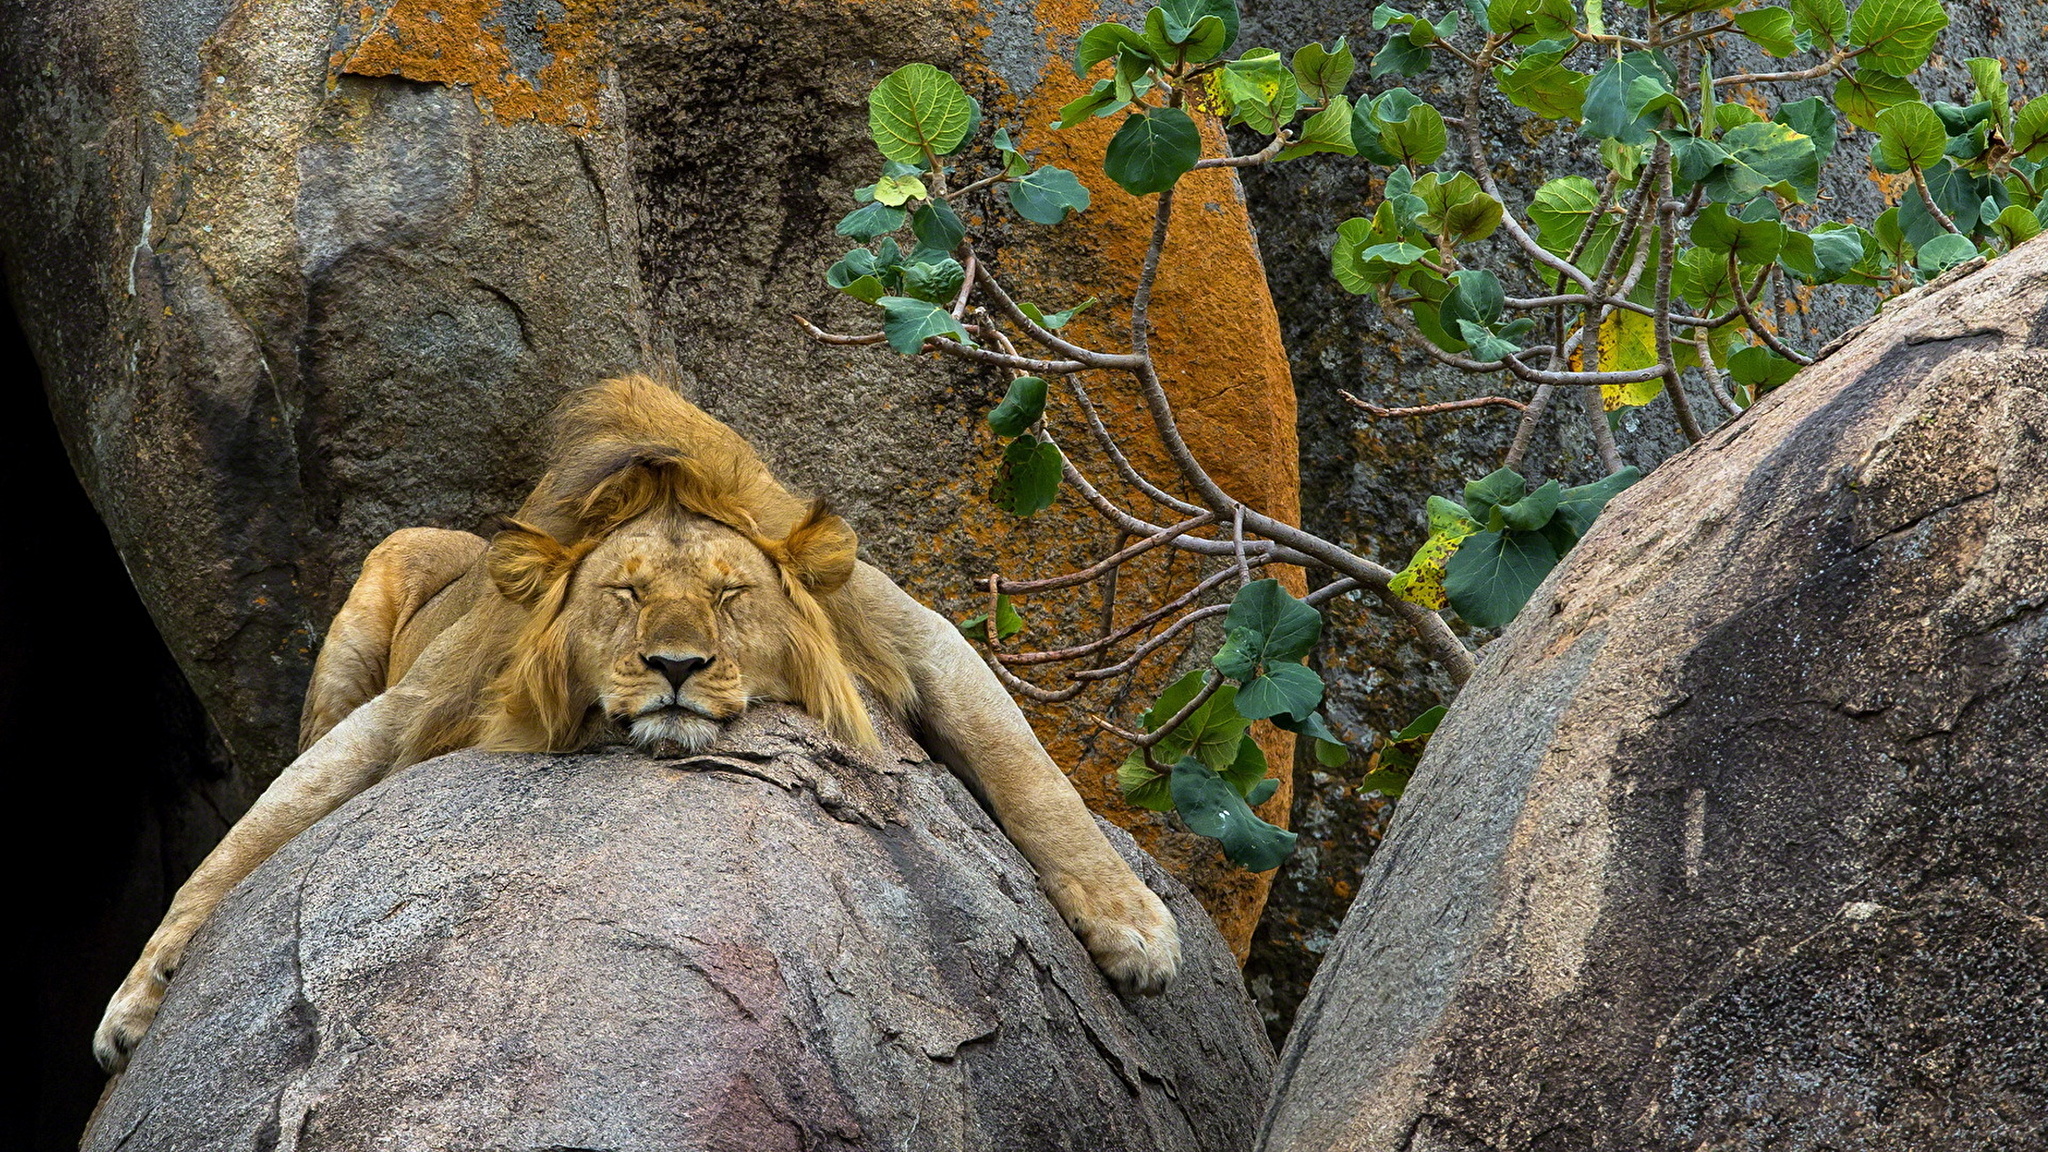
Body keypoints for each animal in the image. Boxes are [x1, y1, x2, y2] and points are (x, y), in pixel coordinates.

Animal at [96, 373, 1187, 1074]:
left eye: (730, 596)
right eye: (623, 595)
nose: (674, 668)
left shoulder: (913, 635)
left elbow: (1030, 772)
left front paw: (1131, 925)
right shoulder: (406, 710)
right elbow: (245, 842)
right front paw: (136, 1001)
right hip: (381, 574)